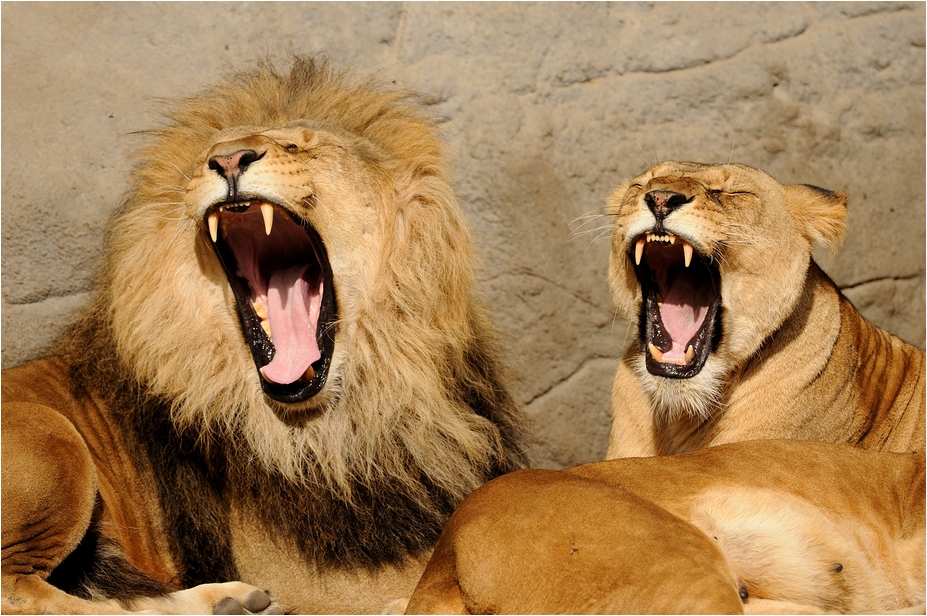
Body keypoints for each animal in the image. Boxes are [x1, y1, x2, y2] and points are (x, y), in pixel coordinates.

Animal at [1, 57, 528, 614]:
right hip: (50, 436)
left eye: (299, 145)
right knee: (21, 591)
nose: (229, 160)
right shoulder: (328, 583)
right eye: (207, 156)